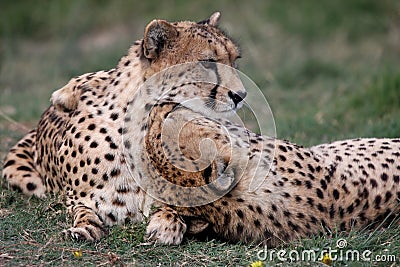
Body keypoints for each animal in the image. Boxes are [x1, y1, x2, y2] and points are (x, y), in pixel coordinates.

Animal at [2, 12, 244, 243]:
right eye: (208, 62)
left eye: (235, 60)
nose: (241, 95)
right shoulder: (74, 197)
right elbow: (82, 209)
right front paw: (84, 227)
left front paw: (167, 224)